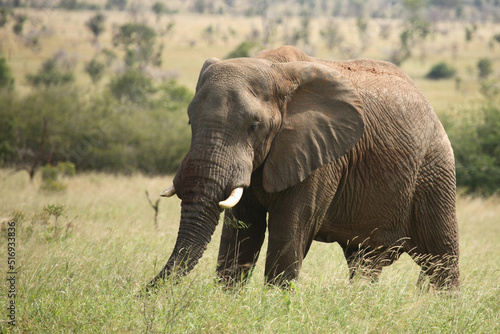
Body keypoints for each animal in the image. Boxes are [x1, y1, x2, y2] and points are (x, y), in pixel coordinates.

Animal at [147, 45, 458, 290]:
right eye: (190, 121)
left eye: (254, 126)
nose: (144, 291)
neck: (274, 70)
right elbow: (242, 229)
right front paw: (228, 299)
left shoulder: (321, 156)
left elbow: (290, 228)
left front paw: (274, 303)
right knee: (365, 261)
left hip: (434, 170)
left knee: (442, 257)